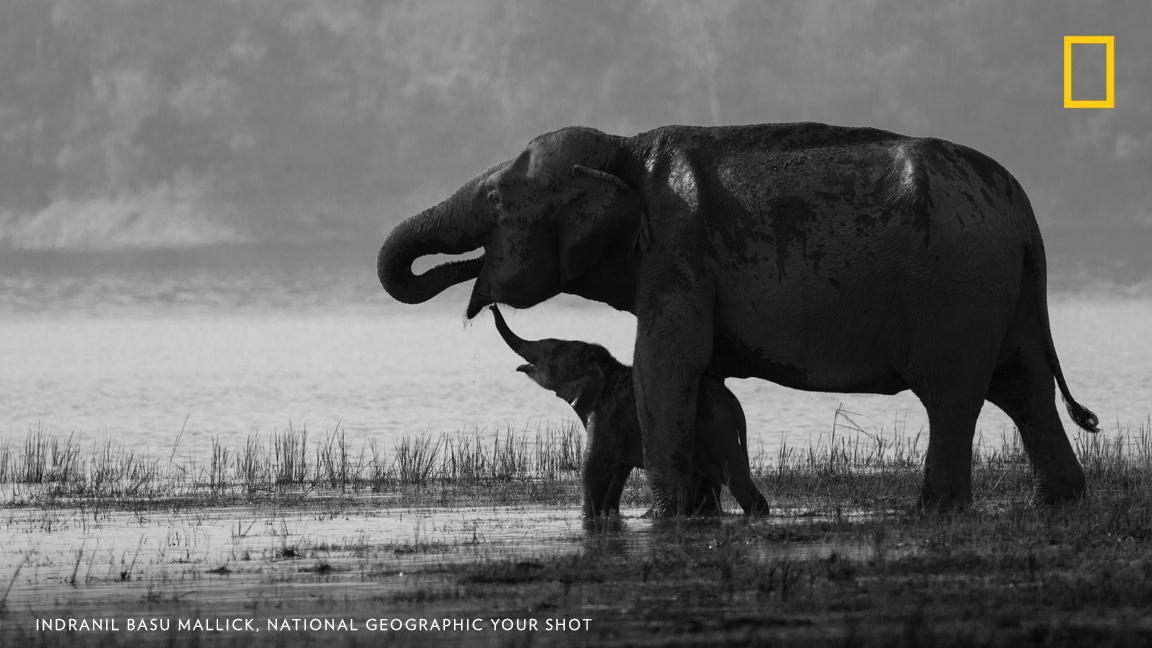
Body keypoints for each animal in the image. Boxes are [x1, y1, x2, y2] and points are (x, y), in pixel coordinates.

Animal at [490, 304, 769, 516]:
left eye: (552, 351)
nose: (492, 305)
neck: (607, 367)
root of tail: (735, 405)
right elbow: (618, 470)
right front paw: (608, 513)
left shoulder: (606, 414)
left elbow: (593, 466)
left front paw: (589, 516)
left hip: (717, 428)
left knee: (736, 479)